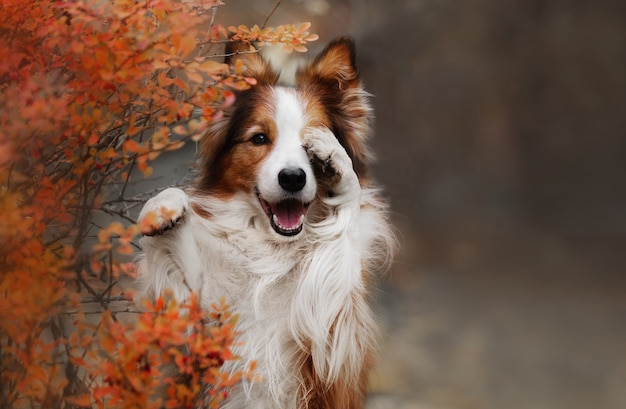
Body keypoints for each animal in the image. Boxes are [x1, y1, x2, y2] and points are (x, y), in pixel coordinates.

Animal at [137, 38, 394, 408]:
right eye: (259, 138)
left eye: (310, 143)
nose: (293, 178)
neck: (272, 249)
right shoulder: (196, 338)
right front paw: (163, 206)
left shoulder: (334, 350)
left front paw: (337, 163)